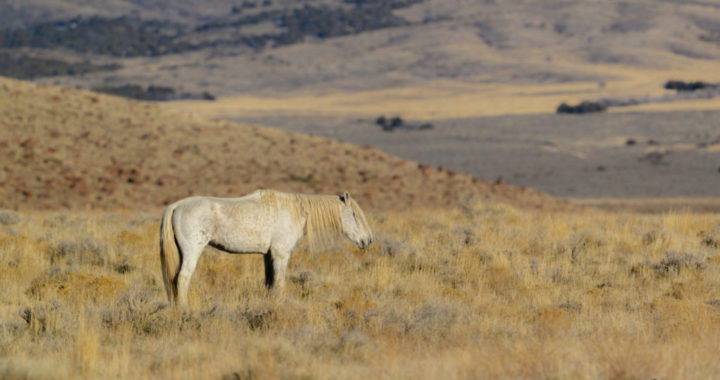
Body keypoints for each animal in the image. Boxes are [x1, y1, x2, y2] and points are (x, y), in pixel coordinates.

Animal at [158, 190, 372, 306]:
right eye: (354, 214)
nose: (368, 240)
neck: (294, 211)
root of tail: (176, 206)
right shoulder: (280, 255)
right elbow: (279, 284)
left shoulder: (268, 256)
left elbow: (269, 283)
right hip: (192, 252)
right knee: (183, 279)